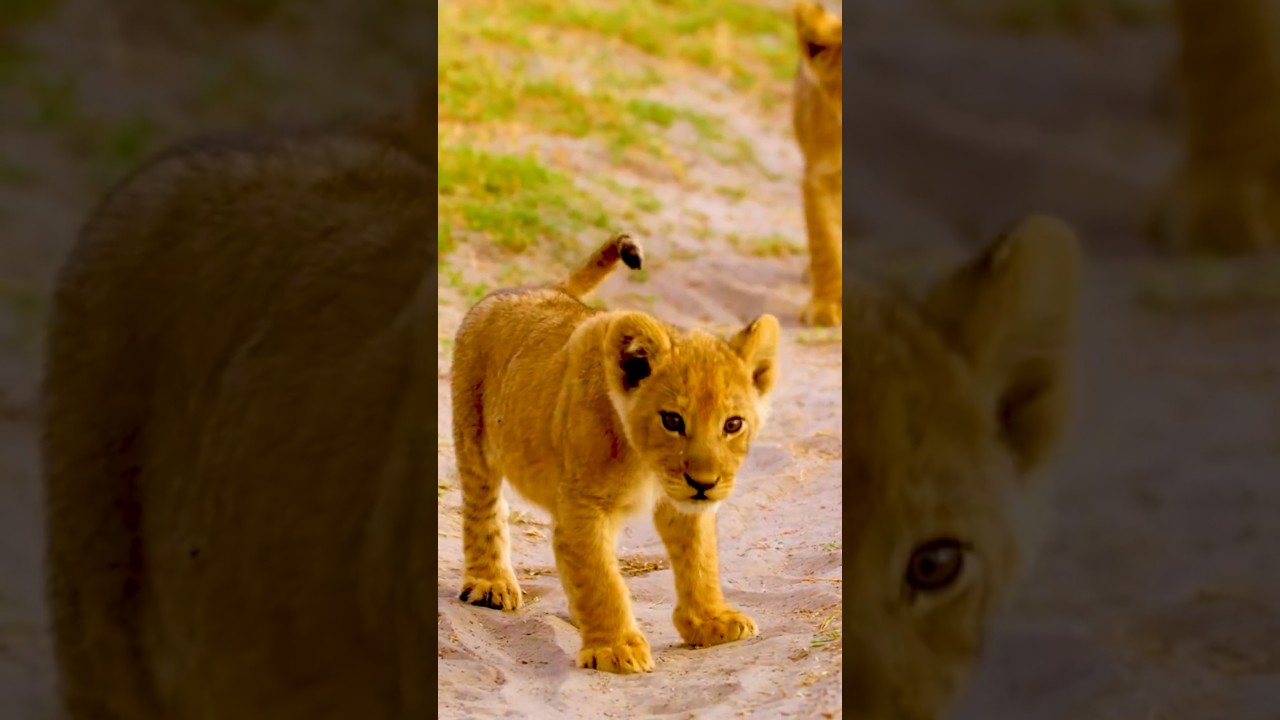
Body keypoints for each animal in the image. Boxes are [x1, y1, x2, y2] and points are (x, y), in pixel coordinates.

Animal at [449, 232, 780, 674]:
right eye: (672, 420)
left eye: (733, 424)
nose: (704, 484)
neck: (646, 464)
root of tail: (543, 288)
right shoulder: (584, 506)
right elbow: (601, 577)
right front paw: (615, 648)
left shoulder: (681, 506)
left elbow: (699, 559)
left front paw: (711, 621)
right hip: (474, 437)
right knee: (482, 508)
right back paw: (489, 584)